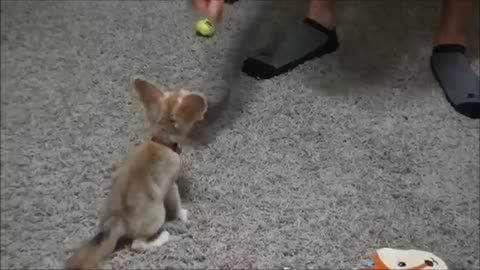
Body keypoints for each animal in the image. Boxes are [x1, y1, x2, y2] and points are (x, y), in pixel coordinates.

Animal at [64, 78, 207, 270]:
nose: (185, 89)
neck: (161, 140)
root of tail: (118, 220)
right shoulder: (171, 185)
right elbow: (176, 203)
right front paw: (182, 215)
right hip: (158, 215)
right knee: (137, 245)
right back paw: (162, 238)